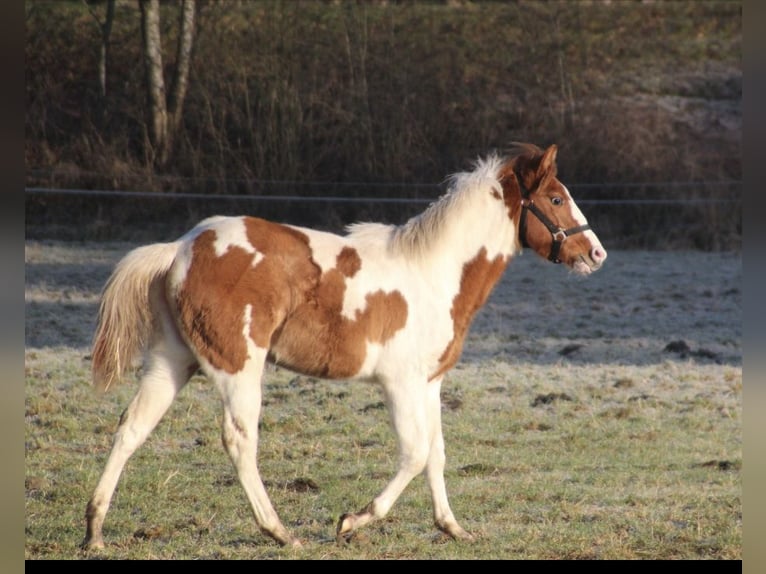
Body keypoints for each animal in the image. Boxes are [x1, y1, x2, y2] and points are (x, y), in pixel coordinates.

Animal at [81, 142, 607, 550]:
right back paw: (279, 532)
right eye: (556, 198)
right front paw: (353, 522)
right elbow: (415, 453)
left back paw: (95, 532)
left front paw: (453, 528)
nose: (596, 253)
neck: (435, 273)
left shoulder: (430, 384)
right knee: (239, 440)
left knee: (131, 428)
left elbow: (436, 453)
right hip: (238, 367)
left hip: (172, 361)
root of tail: (181, 248)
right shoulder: (399, 384)